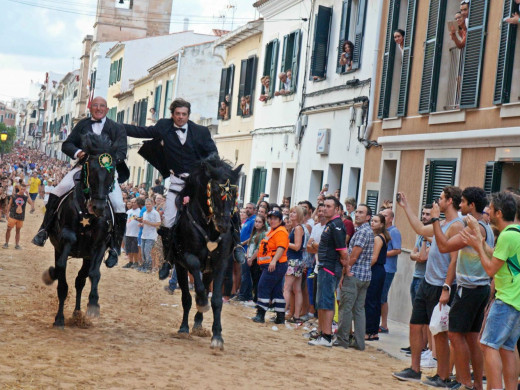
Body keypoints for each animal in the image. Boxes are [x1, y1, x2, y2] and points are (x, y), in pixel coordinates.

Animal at [41, 133, 117, 328]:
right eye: (91, 169)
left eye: (112, 172)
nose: (98, 207)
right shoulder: (64, 240)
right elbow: (61, 275)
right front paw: (59, 318)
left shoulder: (99, 245)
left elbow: (94, 274)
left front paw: (93, 304)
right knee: (64, 272)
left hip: (86, 257)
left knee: (80, 281)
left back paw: (77, 314)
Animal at [171, 155, 244, 350]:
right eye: (217, 190)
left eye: (234, 192)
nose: (224, 225)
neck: (208, 226)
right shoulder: (185, 257)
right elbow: (196, 284)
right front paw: (202, 301)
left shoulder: (220, 263)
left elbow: (217, 300)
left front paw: (217, 336)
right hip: (180, 268)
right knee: (187, 298)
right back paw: (184, 328)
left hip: (209, 270)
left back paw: (197, 324)